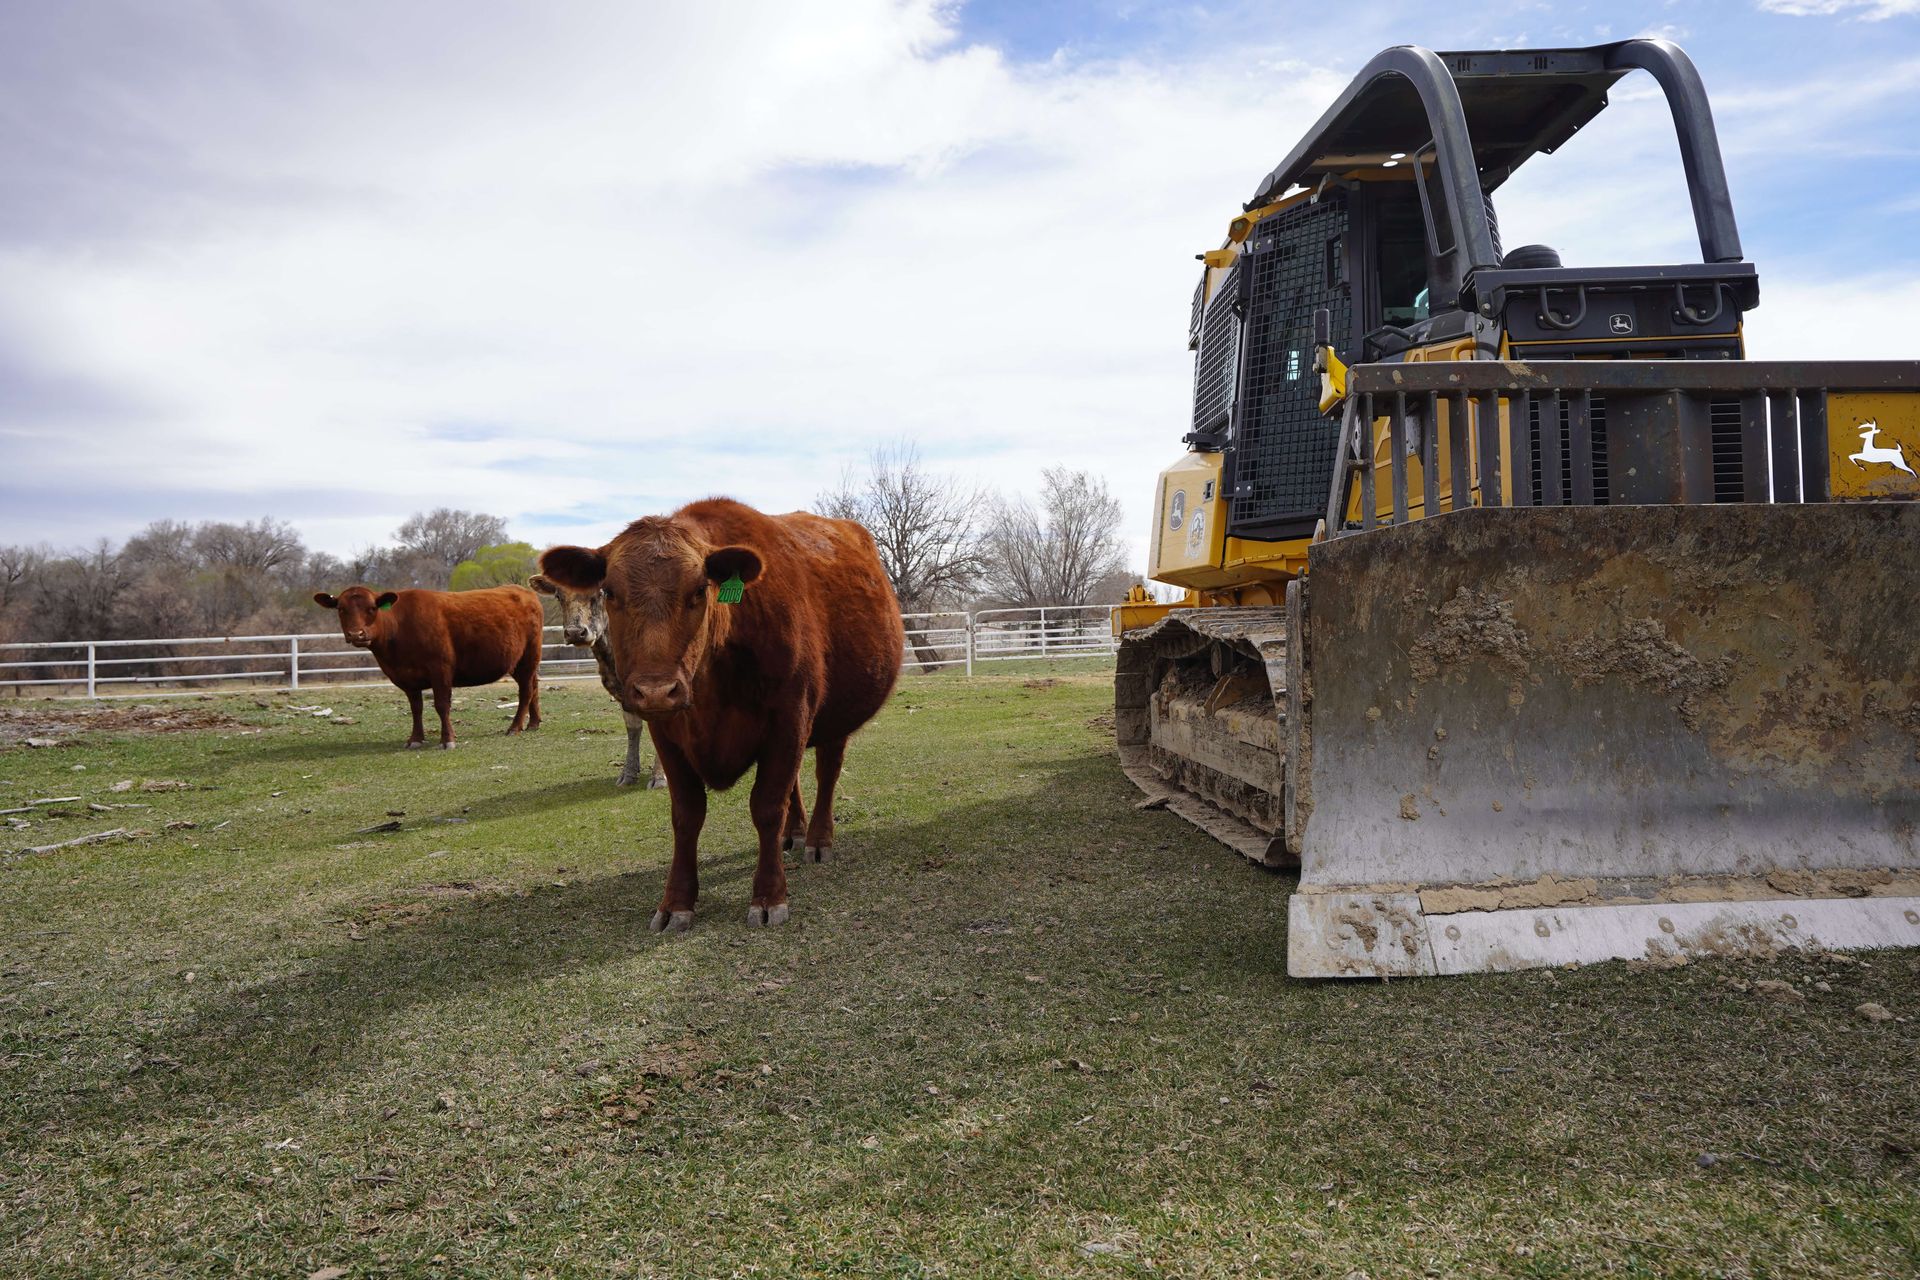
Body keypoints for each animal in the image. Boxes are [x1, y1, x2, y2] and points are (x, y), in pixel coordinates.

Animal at [312, 584, 544, 749]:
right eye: (341, 609)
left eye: (372, 608)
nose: (356, 634)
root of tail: (524, 591)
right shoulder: (406, 677)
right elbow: (416, 708)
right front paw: (415, 738)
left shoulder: (440, 669)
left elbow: (441, 705)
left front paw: (448, 739)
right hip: (517, 662)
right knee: (534, 687)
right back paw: (533, 723)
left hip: (528, 657)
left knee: (526, 691)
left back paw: (515, 727)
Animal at [528, 572, 666, 789]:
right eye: (558, 596)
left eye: (601, 592)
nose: (575, 632)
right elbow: (633, 728)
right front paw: (628, 773)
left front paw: (660, 777)